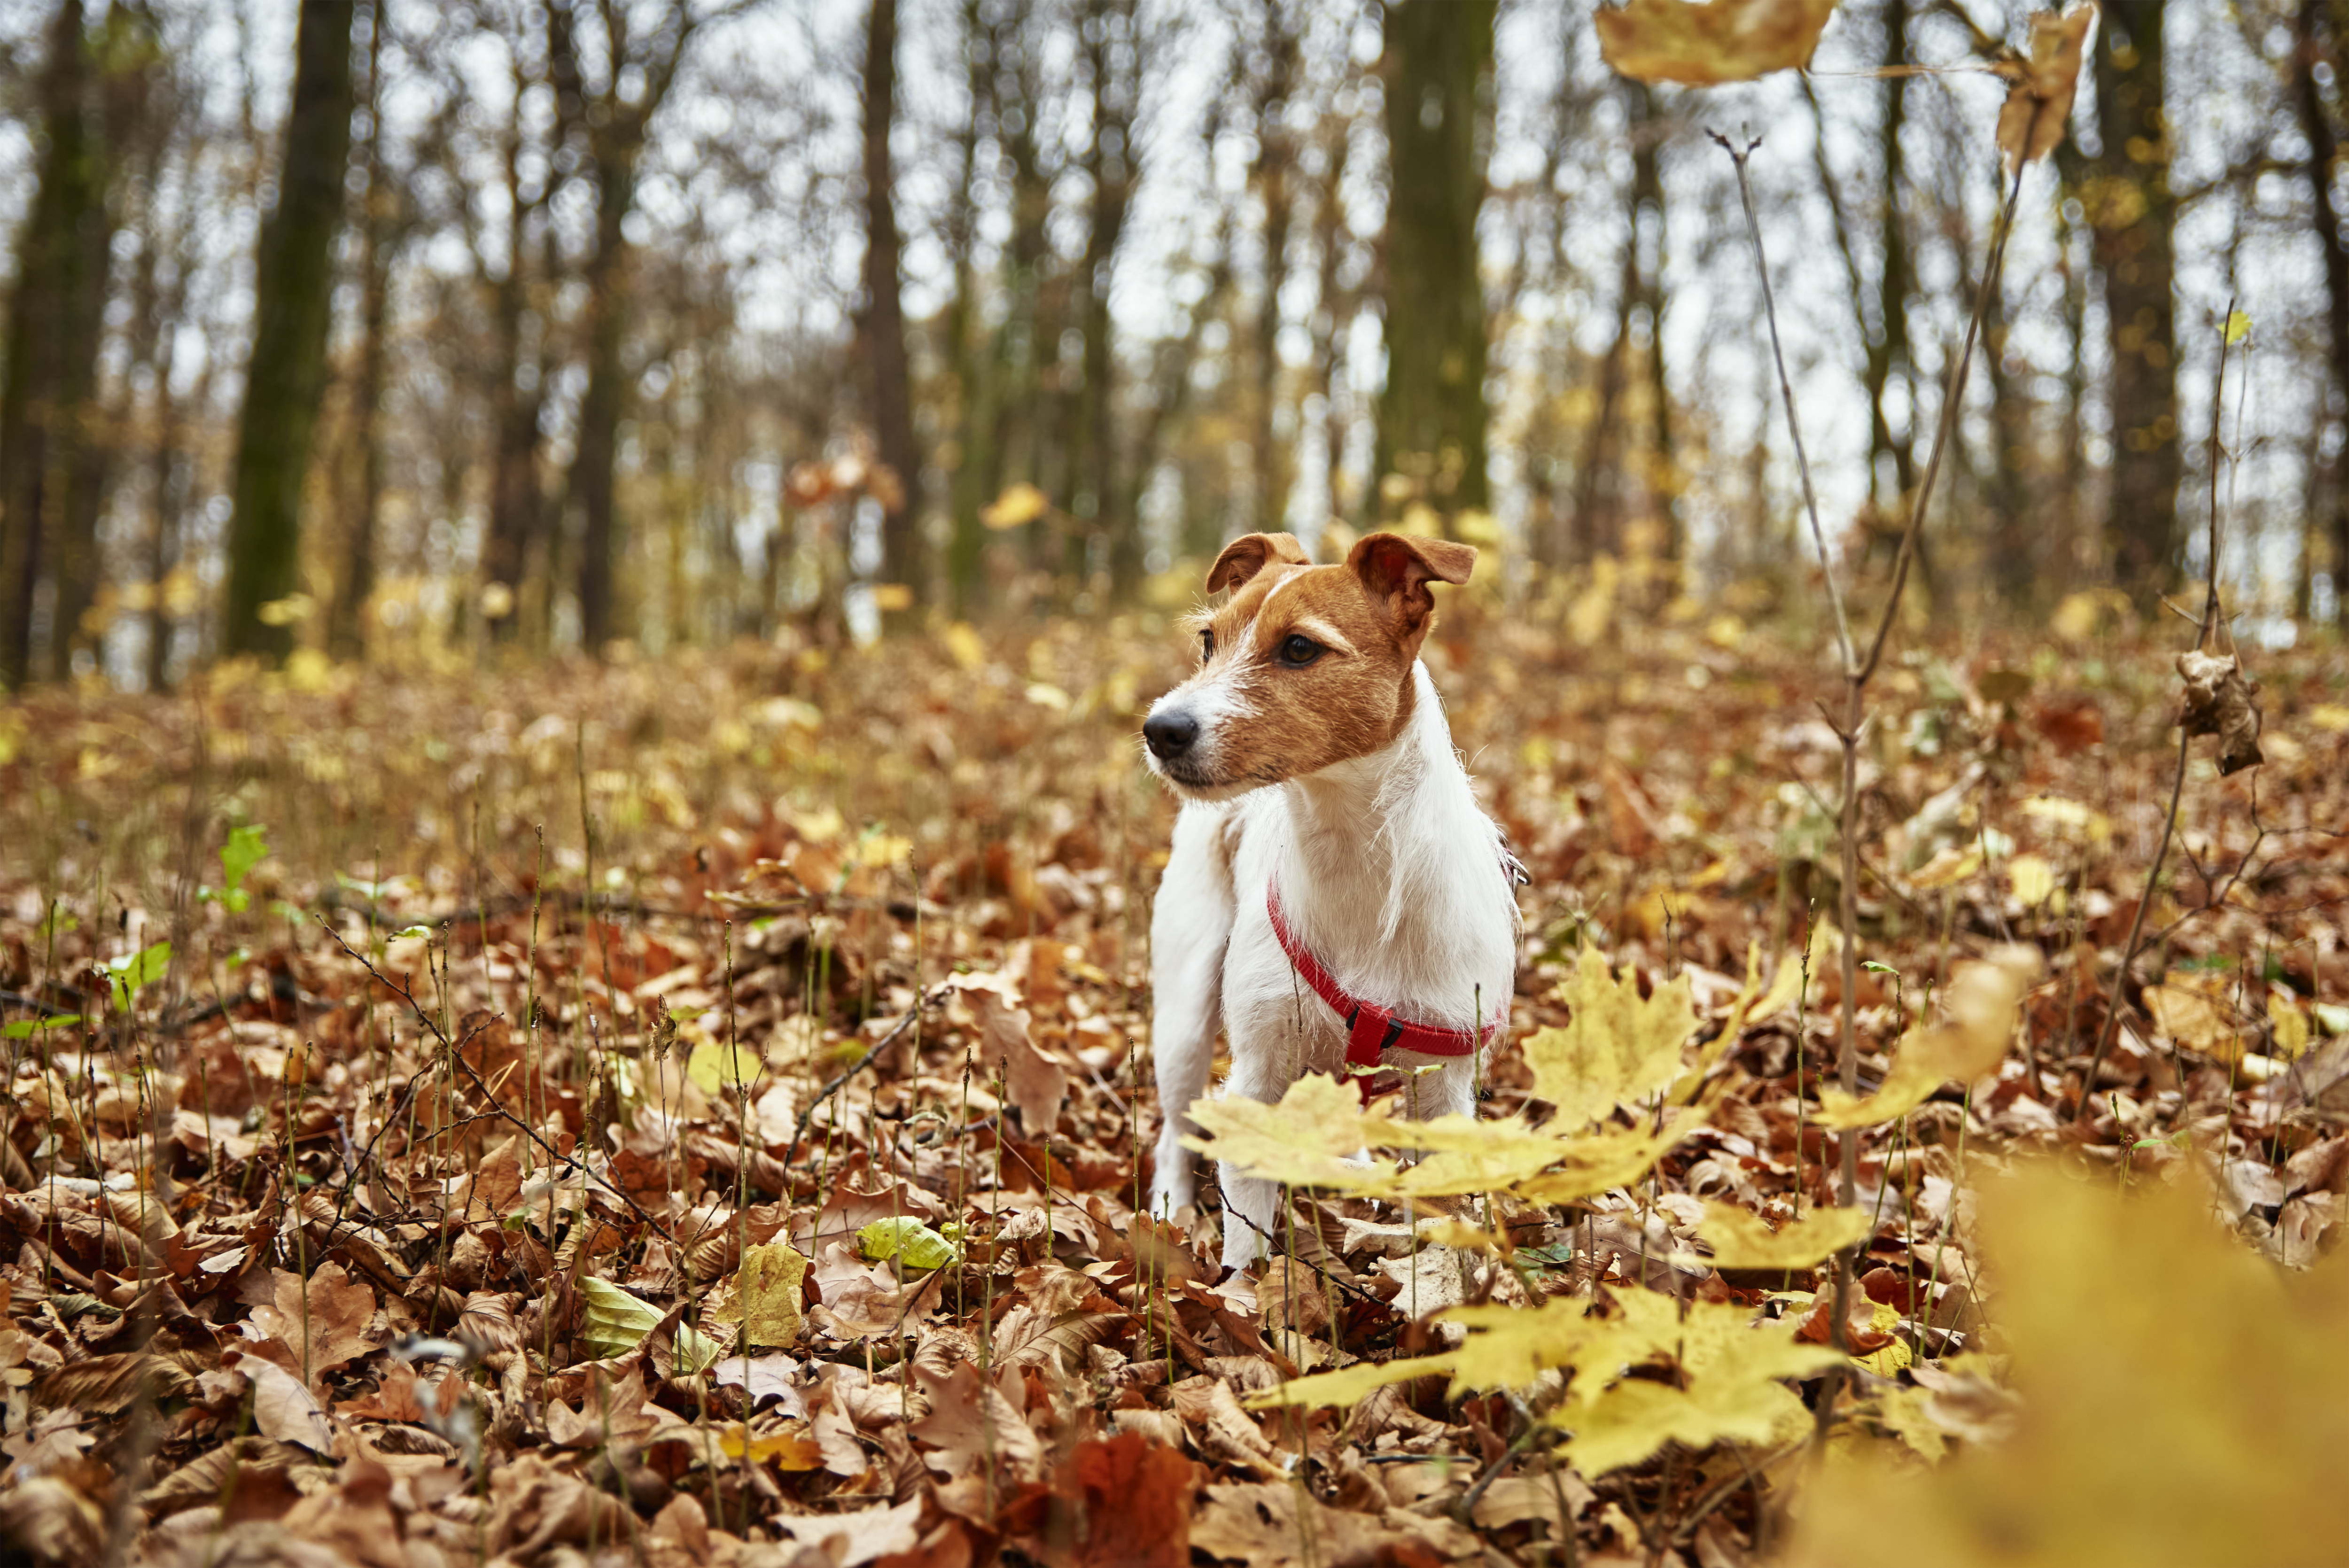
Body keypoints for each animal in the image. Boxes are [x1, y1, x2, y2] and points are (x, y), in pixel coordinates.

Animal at [1142, 533, 1522, 1267]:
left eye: (1299, 648)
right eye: (1208, 640)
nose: (1160, 728)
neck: (1354, 861)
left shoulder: (1444, 1089)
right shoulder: (1257, 1078)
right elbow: (1247, 1244)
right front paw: (1245, 1291)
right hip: (1183, 1009)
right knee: (1175, 1128)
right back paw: (1171, 1207)